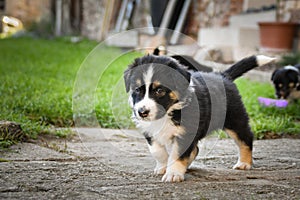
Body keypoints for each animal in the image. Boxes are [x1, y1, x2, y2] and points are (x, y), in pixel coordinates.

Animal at [123, 54, 276, 182]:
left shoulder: (186, 132)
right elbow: (157, 151)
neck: (169, 111)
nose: (142, 112)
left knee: (246, 138)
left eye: (159, 90)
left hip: (235, 119)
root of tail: (222, 75)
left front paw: (173, 174)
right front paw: (163, 167)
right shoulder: (150, 131)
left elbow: (178, 154)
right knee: (195, 149)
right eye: (137, 89)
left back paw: (244, 163)